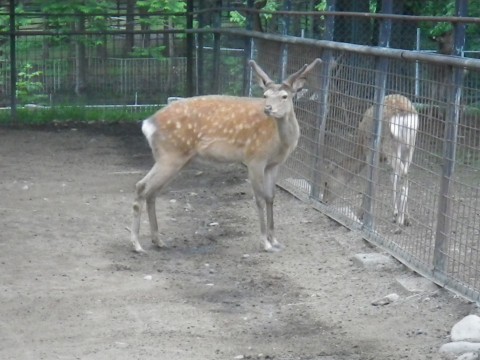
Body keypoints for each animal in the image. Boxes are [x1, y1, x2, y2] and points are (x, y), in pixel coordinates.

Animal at [130, 58, 322, 253]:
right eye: (265, 95)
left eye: (284, 96)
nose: (268, 109)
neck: (281, 143)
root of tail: (147, 124)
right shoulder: (255, 158)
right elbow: (259, 199)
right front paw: (265, 243)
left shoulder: (274, 164)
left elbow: (270, 198)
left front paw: (275, 240)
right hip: (170, 154)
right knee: (141, 186)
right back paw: (137, 244)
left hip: (177, 158)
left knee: (152, 191)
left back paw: (158, 240)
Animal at [322, 94, 420, 226]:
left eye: (326, 182)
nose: (324, 201)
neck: (360, 148)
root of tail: (405, 112)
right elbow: (391, 178)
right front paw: (398, 215)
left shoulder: (370, 153)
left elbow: (370, 183)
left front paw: (360, 215)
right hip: (410, 147)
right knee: (404, 174)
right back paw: (404, 218)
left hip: (390, 146)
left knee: (403, 175)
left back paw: (399, 220)